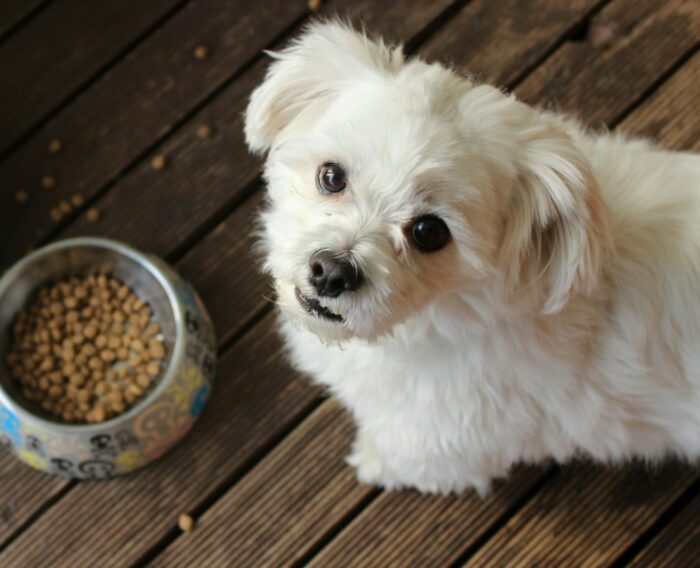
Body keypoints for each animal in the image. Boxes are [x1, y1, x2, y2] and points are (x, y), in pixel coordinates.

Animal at [245, 21, 700, 492]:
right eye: (331, 176)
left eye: (429, 232)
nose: (332, 272)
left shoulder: (446, 442)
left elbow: (405, 457)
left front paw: (371, 459)